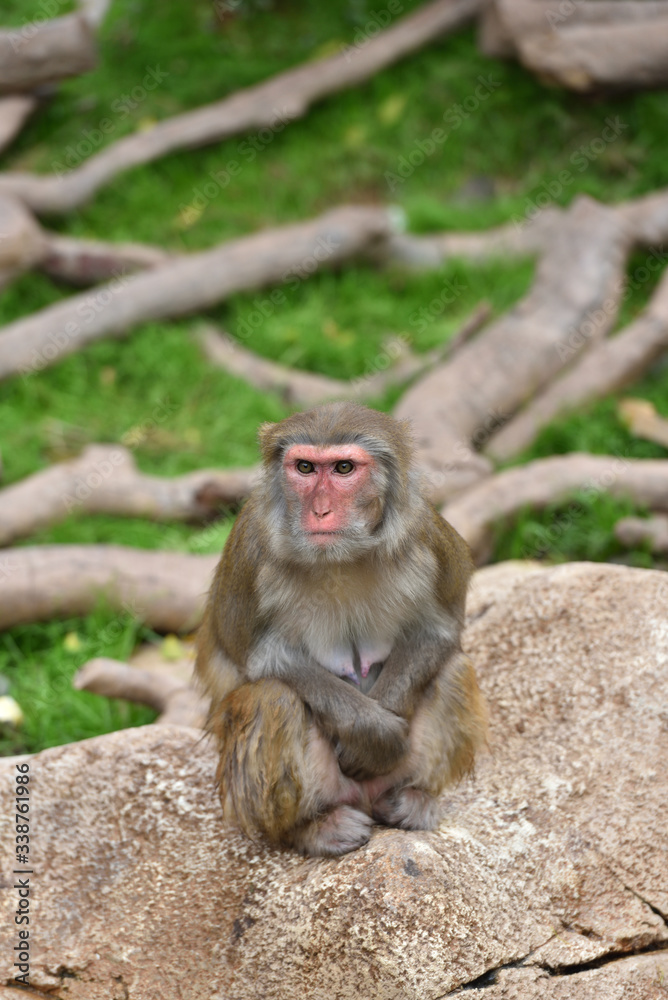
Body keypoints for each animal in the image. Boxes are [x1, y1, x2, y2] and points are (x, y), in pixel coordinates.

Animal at [196, 402, 486, 857]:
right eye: (304, 467)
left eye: (344, 468)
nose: (319, 511)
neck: (342, 555)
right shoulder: (250, 550)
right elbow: (264, 658)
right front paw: (375, 735)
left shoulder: (426, 536)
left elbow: (438, 631)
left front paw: (382, 737)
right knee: (272, 699)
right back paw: (310, 827)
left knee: (454, 670)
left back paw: (412, 799)